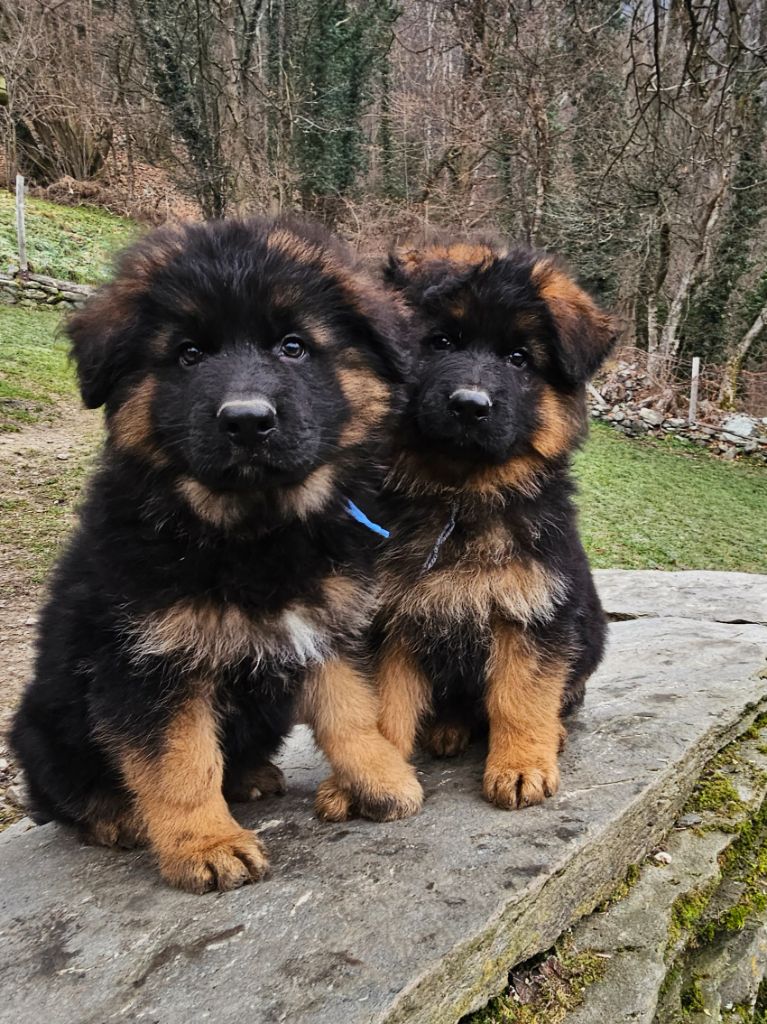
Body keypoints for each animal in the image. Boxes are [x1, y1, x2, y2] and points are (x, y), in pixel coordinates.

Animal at [8, 220, 421, 892]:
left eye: (293, 346)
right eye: (188, 354)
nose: (247, 421)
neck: (250, 533)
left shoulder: (325, 627)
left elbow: (351, 712)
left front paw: (383, 781)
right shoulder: (148, 663)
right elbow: (180, 761)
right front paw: (205, 843)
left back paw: (251, 777)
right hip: (40, 725)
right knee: (60, 796)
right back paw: (115, 816)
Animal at [346, 241, 614, 815]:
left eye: (519, 359)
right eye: (442, 342)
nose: (470, 405)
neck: (460, 498)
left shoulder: (532, 612)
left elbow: (520, 697)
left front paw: (520, 765)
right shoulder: (390, 621)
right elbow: (383, 712)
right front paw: (367, 783)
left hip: (591, 634)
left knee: (561, 695)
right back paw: (446, 729)